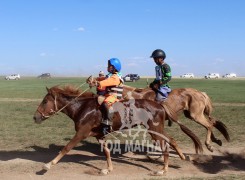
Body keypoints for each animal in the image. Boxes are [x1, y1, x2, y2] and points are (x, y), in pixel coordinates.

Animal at [32, 85, 203, 175]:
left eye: (45, 101)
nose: (35, 117)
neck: (82, 107)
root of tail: (159, 104)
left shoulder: (81, 133)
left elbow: (66, 148)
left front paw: (48, 165)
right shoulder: (99, 135)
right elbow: (107, 152)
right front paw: (108, 169)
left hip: (154, 130)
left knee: (165, 145)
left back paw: (163, 169)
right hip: (156, 129)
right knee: (171, 140)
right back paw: (181, 157)